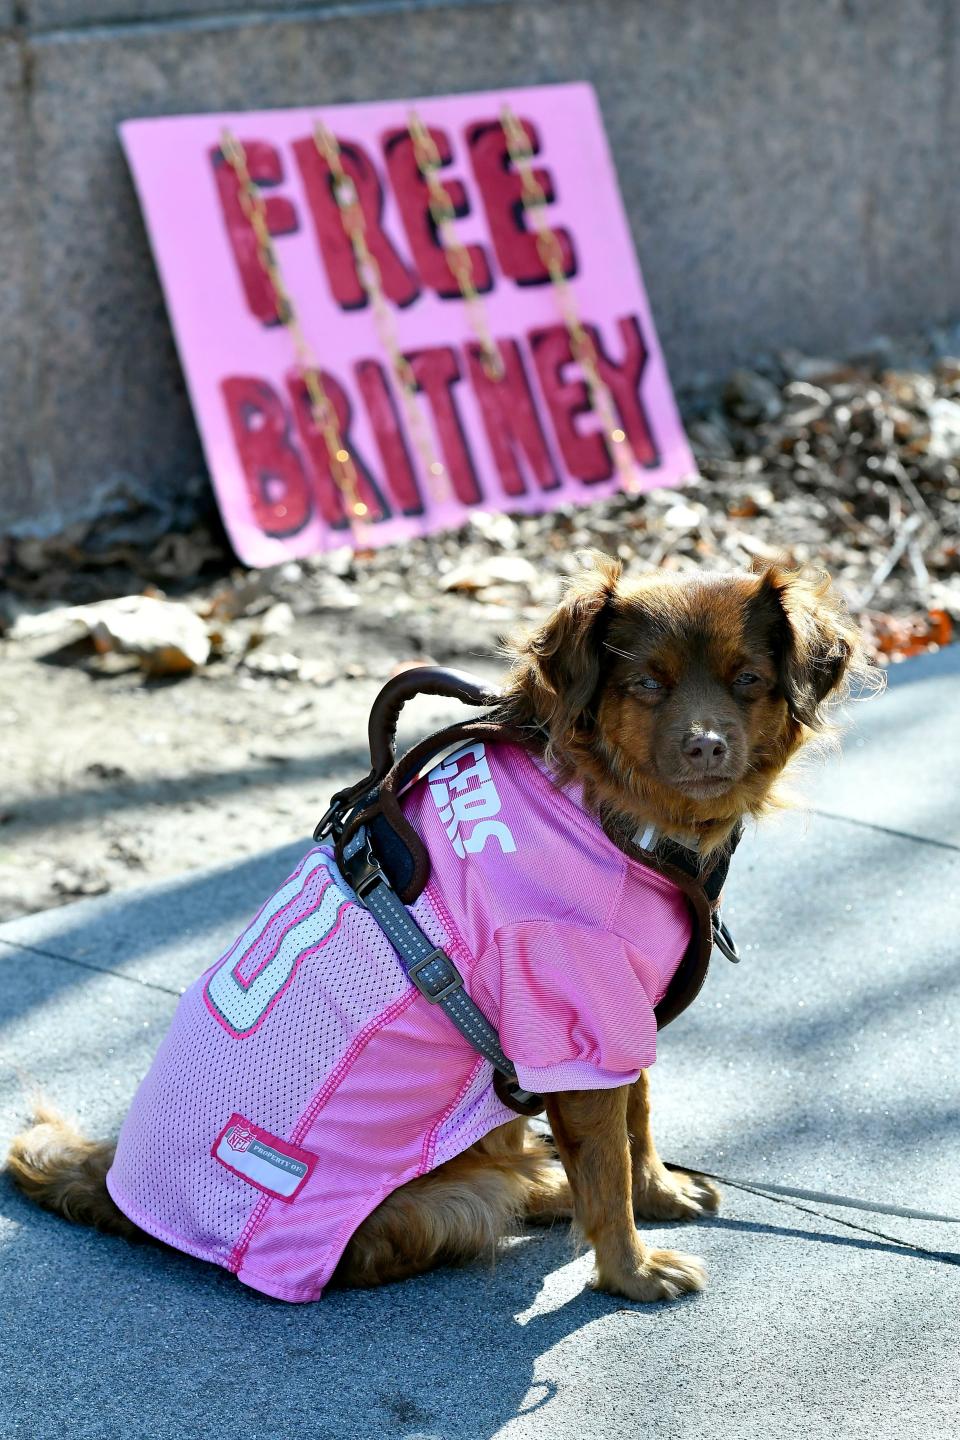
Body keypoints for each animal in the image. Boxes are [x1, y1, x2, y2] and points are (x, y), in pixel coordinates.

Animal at [5, 550, 863, 1307]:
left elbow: (637, 1118)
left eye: (748, 681)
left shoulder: (619, 1011)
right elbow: (608, 1163)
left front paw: (656, 1192)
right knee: (499, 1194)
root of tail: (122, 1188)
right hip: (443, 1203)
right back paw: (543, 1184)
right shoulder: (569, 1018)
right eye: (646, 684)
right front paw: (630, 1271)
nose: (706, 744)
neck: (611, 809)